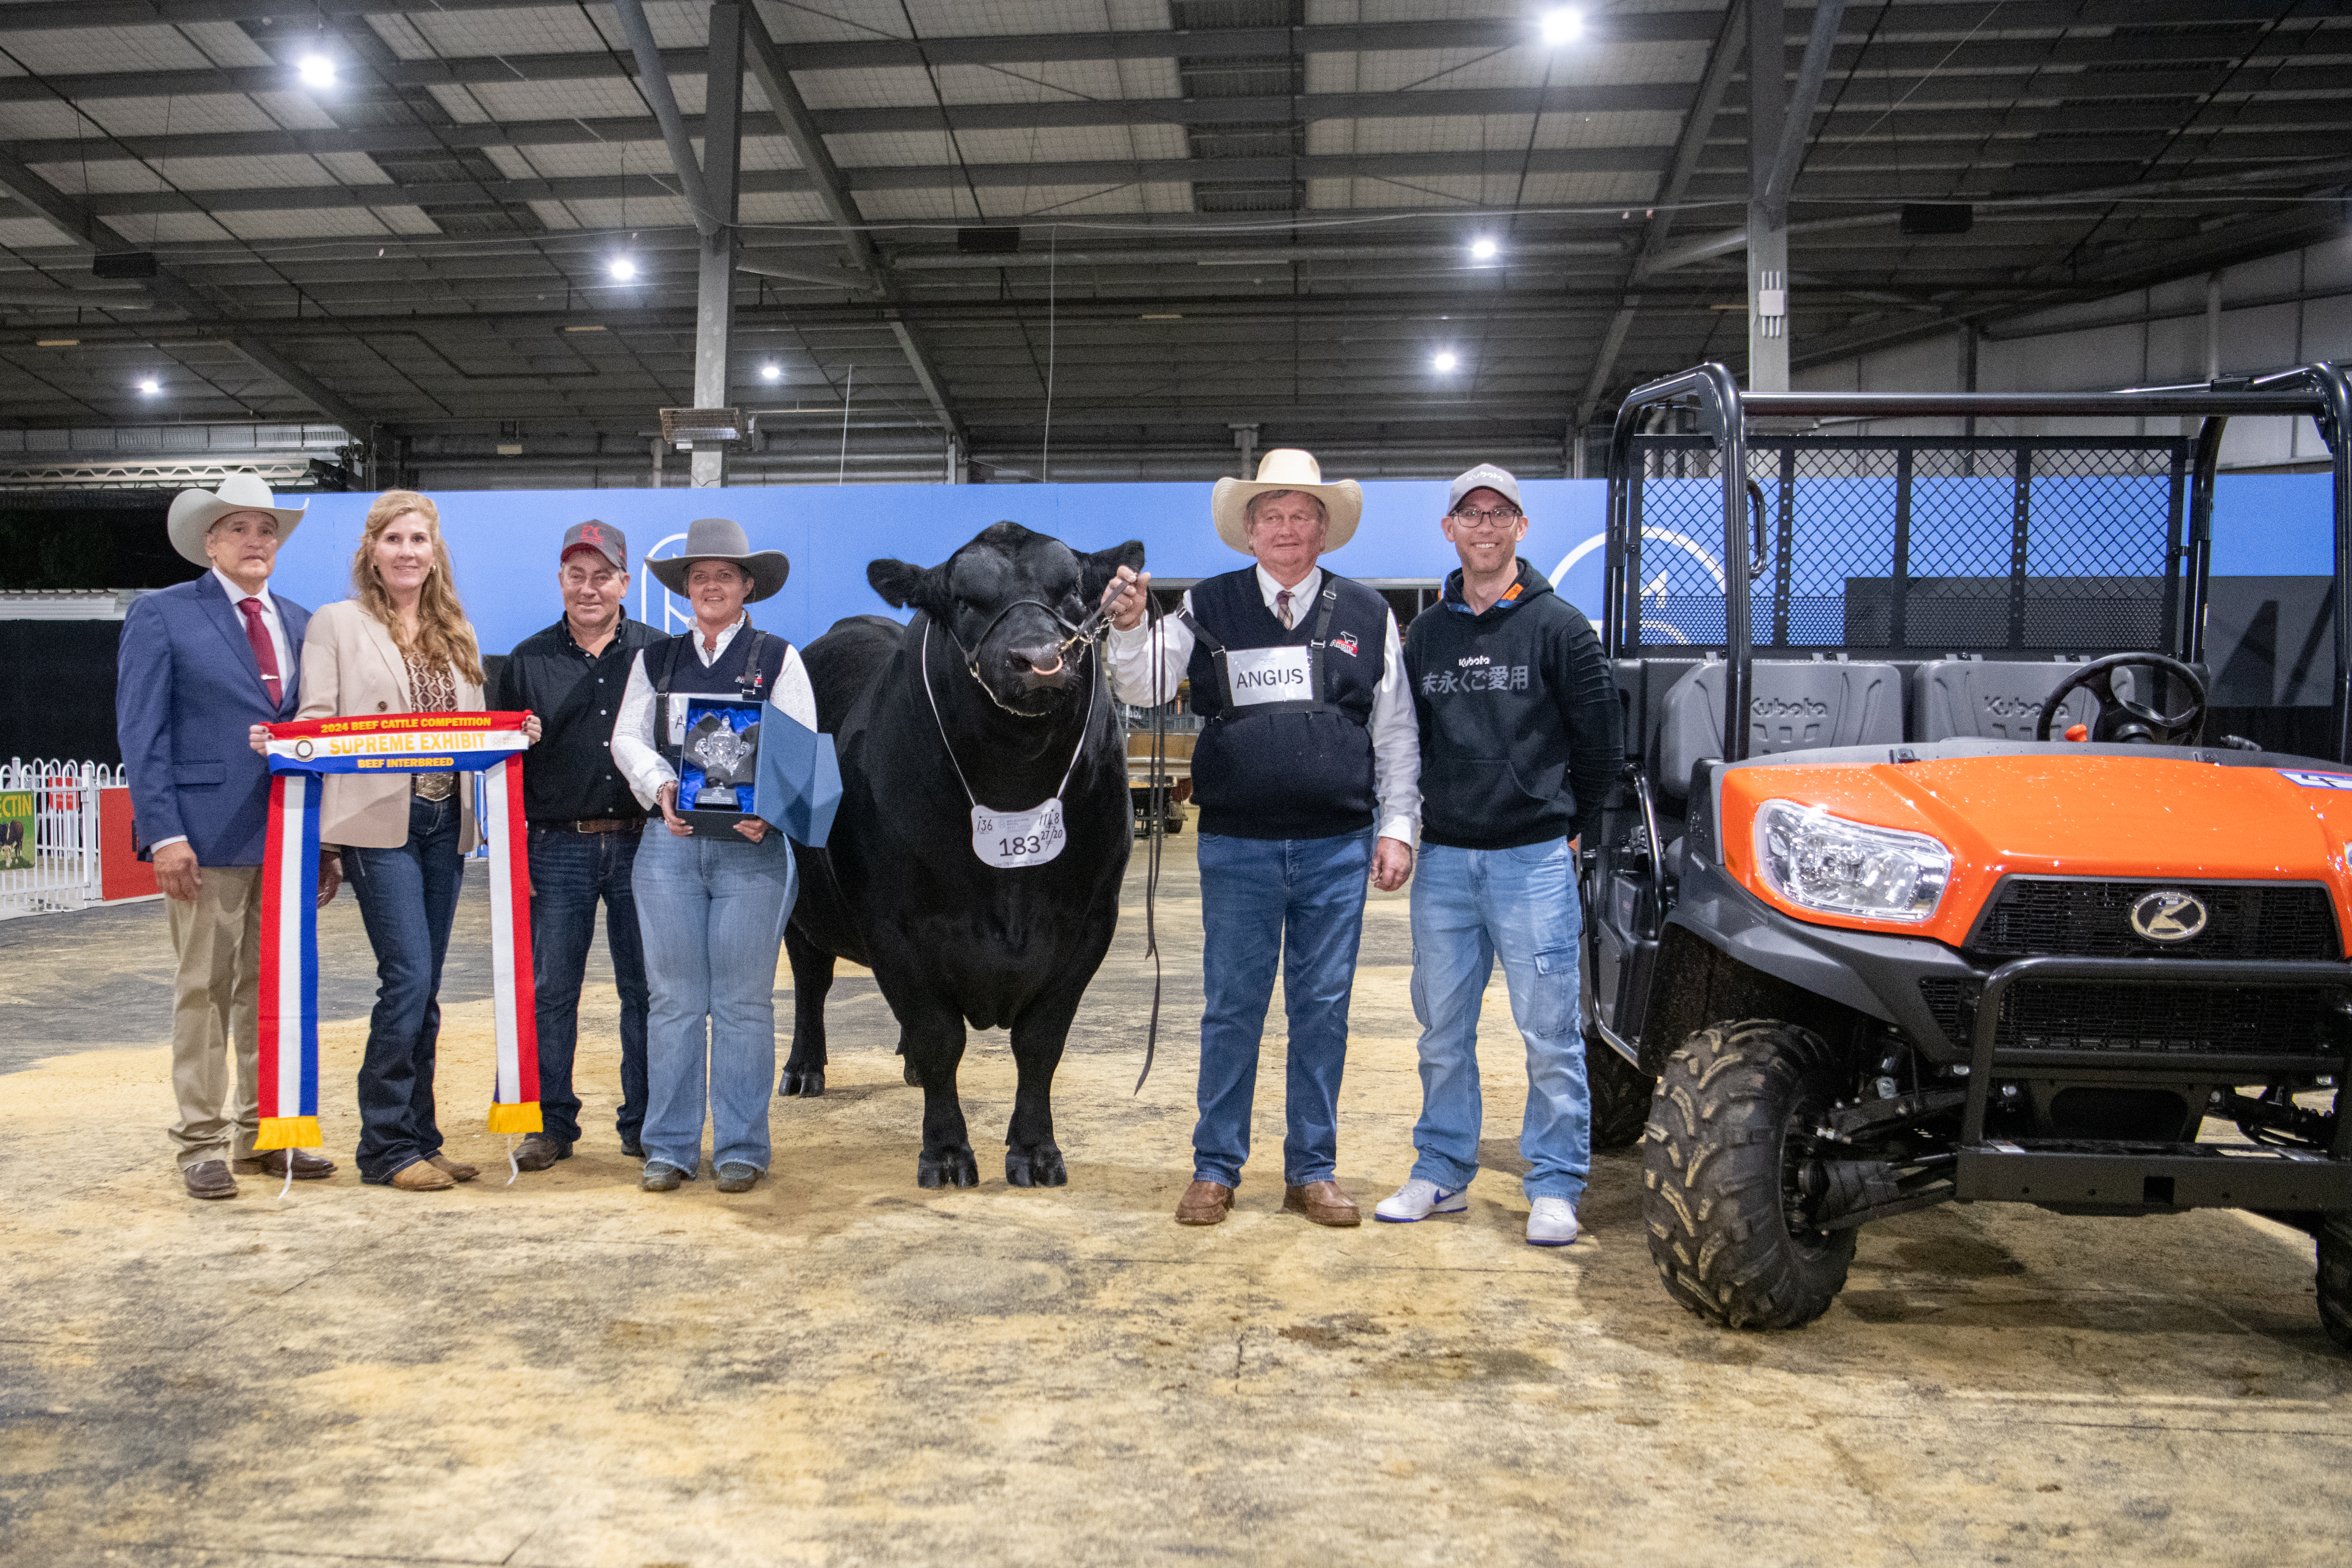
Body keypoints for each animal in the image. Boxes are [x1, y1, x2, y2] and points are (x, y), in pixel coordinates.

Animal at [781, 522, 1148, 1185]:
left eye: (1070, 590)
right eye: (963, 600)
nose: (1040, 659)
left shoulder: (1089, 923)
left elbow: (1040, 1042)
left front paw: (1035, 1149)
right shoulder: (893, 925)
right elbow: (938, 1037)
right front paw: (946, 1152)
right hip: (802, 904)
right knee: (810, 982)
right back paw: (803, 1068)